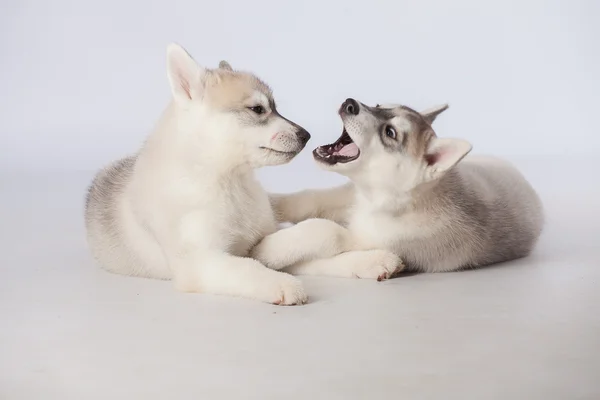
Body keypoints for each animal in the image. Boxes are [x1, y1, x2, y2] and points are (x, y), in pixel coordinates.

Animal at [272, 98, 544, 274]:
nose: (350, 102)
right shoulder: (353, 196)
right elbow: (312, 198)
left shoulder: (379, 241)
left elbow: (326, 233)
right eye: (379, 105)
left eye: (390, 133)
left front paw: (273, 249)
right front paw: (274, 204)